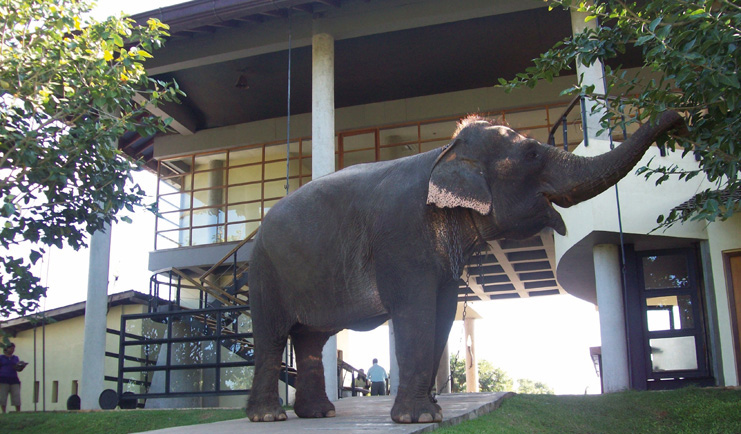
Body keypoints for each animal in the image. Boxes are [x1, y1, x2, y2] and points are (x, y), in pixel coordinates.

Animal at [245, 111, 684, 423]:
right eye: (532, 154)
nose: (679, 117)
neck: (445, 151)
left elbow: (441, 311)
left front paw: (432, 413)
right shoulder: (402, 237)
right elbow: (415, 310)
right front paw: (417, 419)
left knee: (310, 339)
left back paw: (318, 414)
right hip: (264, 271)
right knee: (273, 336)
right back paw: (269, 417)